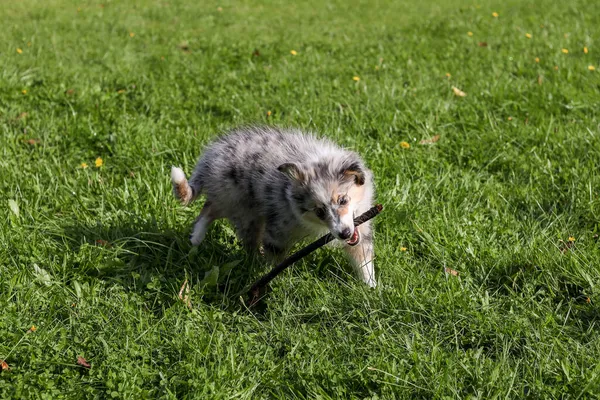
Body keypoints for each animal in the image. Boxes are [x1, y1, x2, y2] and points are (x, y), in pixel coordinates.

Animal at [171, 126, 376, 286]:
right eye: (319, 211)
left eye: (343, 200)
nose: (344, 234)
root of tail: (209, 159)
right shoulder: (278, 229)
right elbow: (275, 259)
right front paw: (270, 279)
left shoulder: (359, 224)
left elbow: (363, 257)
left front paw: (372, 288)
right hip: (242, 206)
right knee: (226, 221)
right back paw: (202, 238)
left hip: (231, 200)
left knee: (210, 206)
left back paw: (196, 237)